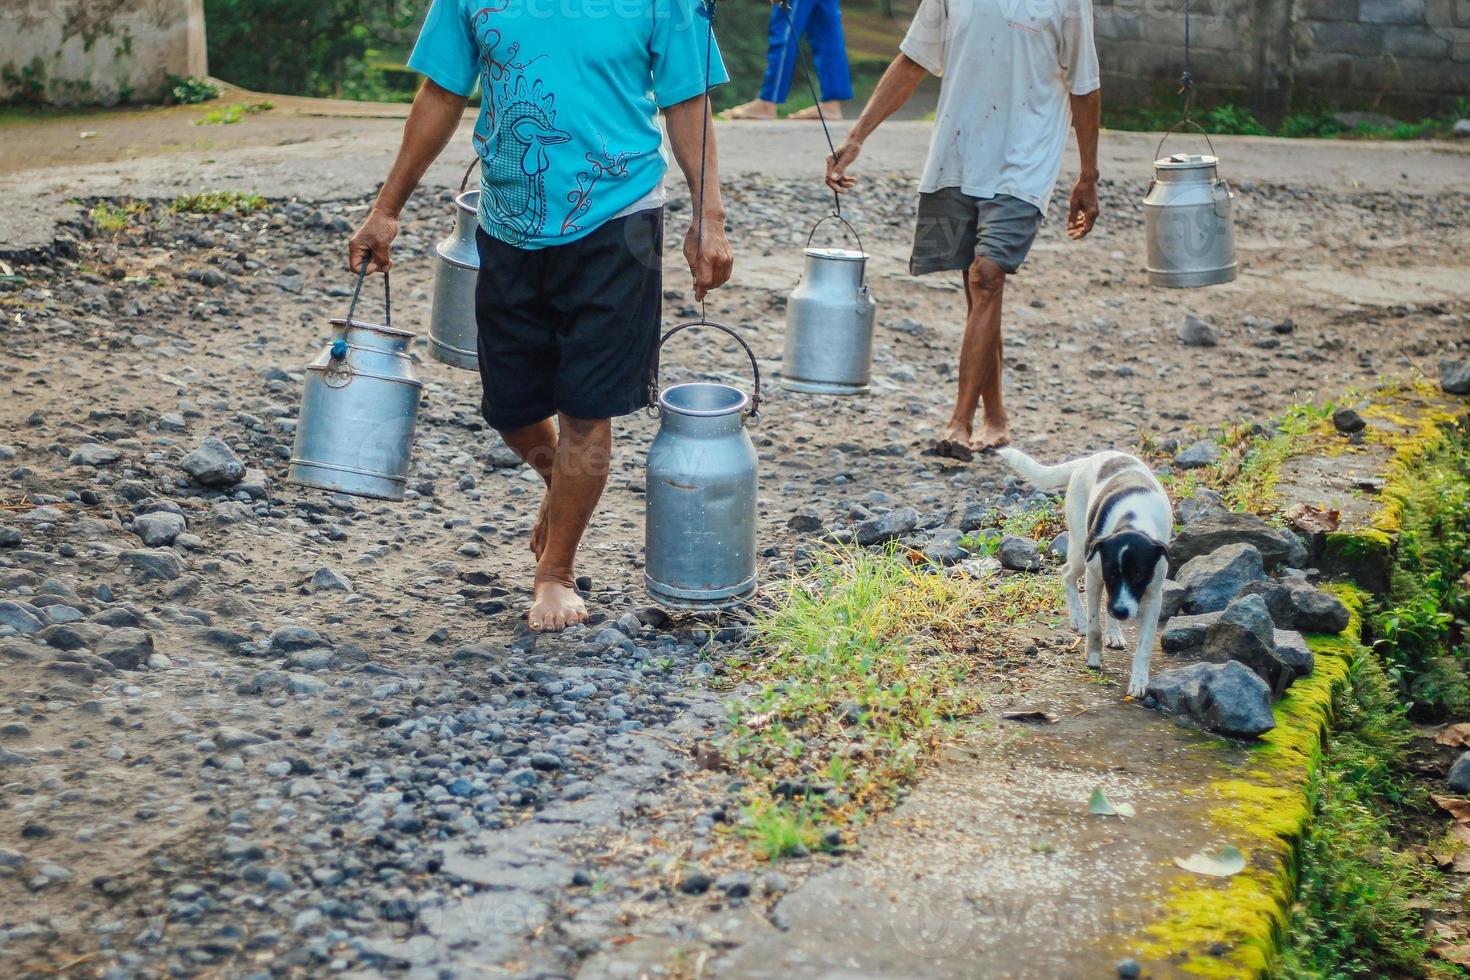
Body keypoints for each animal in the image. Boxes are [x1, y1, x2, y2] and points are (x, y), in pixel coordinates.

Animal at [999, 449, 1170, 702]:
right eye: (1111, 574)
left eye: (1139, 575)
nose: (1121, 611)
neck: (1132, 522)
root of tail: (1090, 459)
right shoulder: (1095, 578)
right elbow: (1094, 625)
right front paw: (1093, 655)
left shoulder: (1153, 596)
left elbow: (1145, 645)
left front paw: (1139, 682)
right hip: (1081, 550)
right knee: (1067, 574)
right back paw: (1079, 618)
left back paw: (1114, 633)